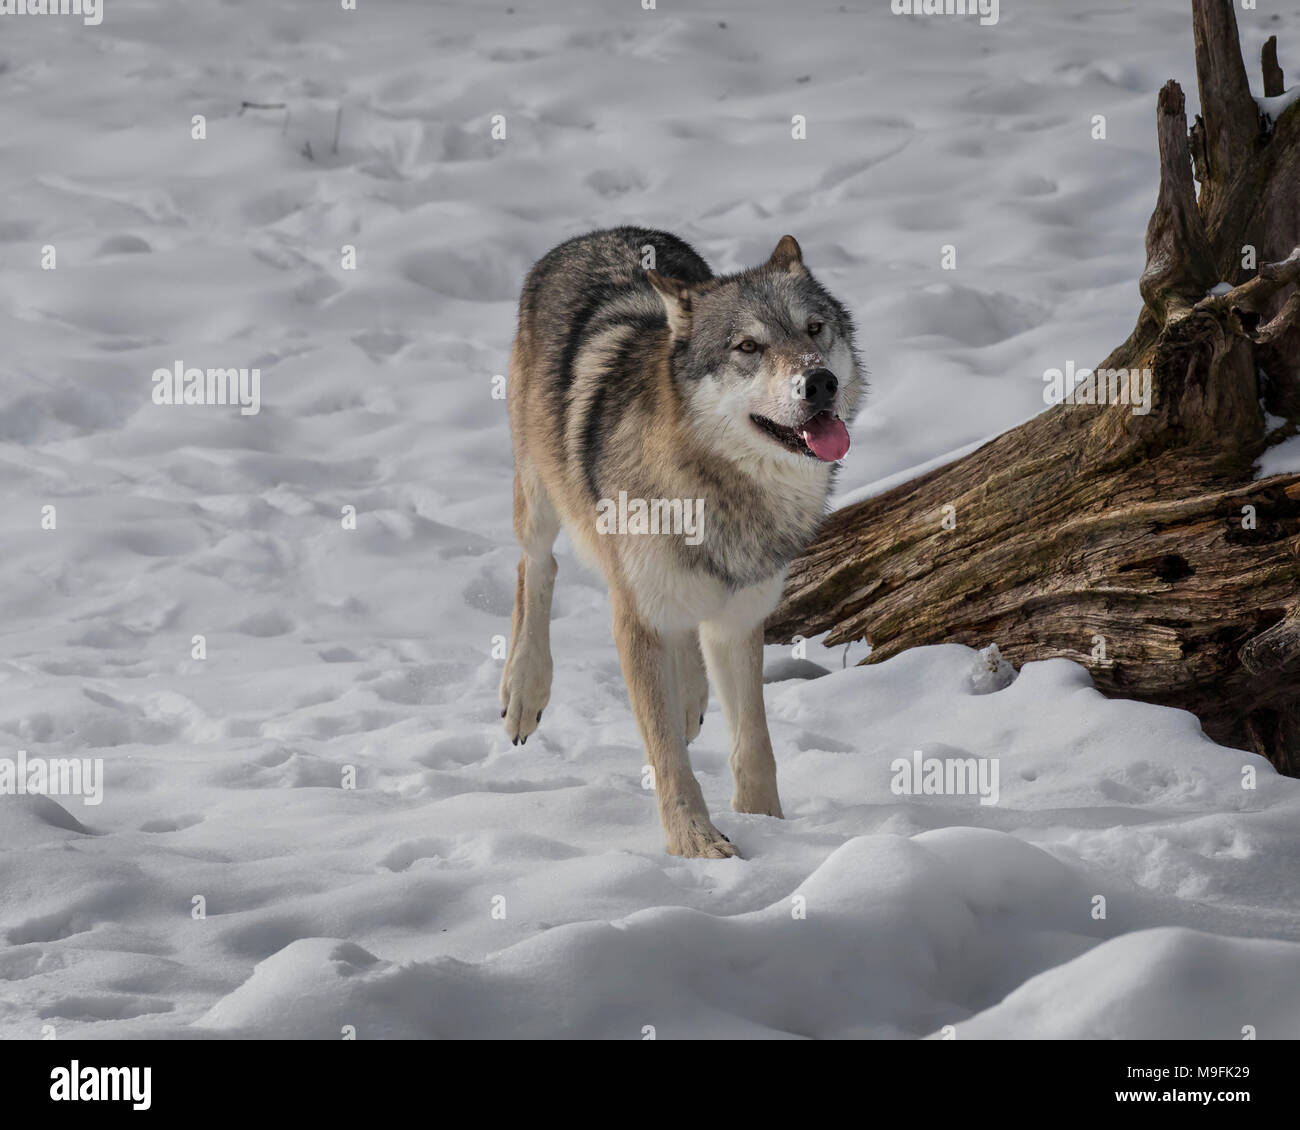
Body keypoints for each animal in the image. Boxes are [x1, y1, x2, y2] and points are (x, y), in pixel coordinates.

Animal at [504, 228, 863, 858]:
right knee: (536, 567)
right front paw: (696, 845)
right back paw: (524, 690)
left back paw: (692, 697)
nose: (820, 382)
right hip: (540, 498)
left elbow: (755, 745)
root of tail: (599, 232)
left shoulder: (741, 617)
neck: (721, 492)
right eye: (748, 346)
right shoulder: (636, 620)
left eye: (814, 328)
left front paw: (769, 827)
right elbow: (667, 754)